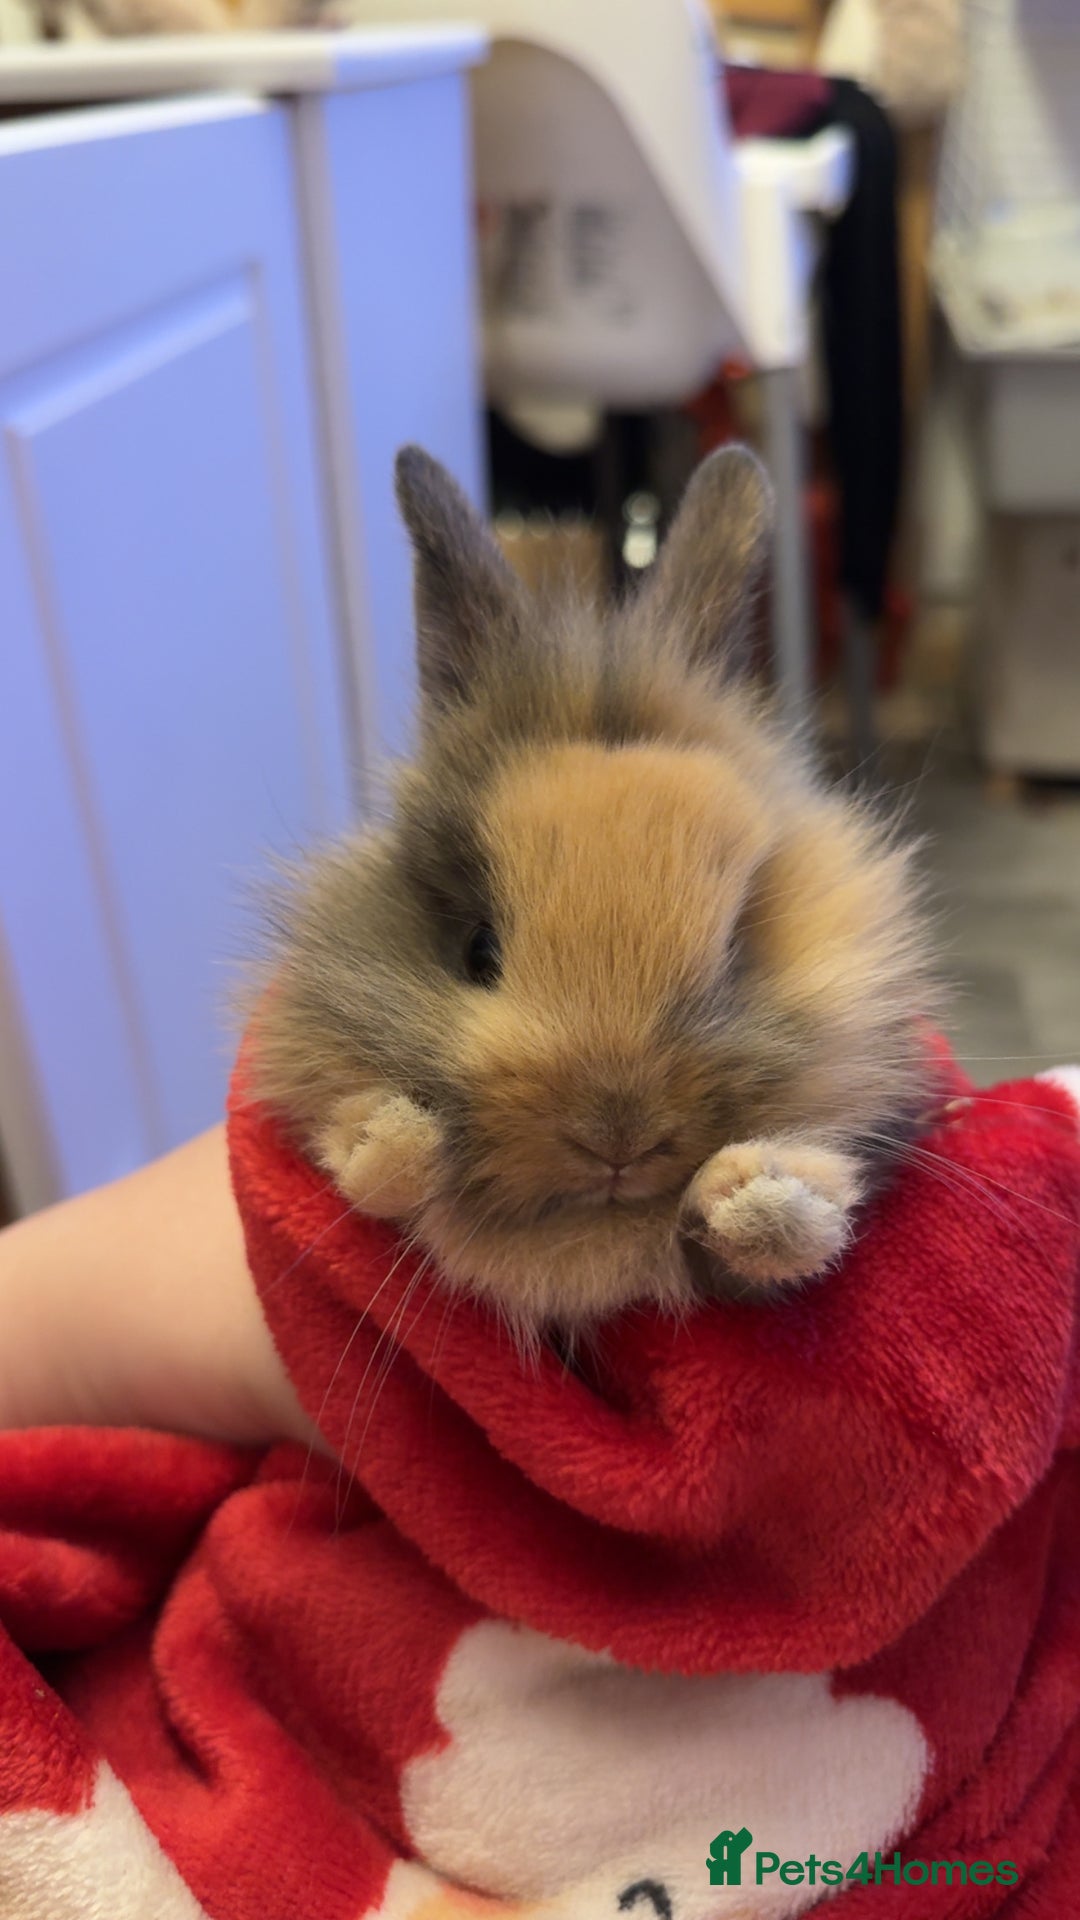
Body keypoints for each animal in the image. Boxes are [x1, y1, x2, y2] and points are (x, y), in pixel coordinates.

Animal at [250, 444, 936, 1336]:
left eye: (736, 953)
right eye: (478, 950)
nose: (616, 1140)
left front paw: (756, 1198)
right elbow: (373, 1173)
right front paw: (390, 1140)